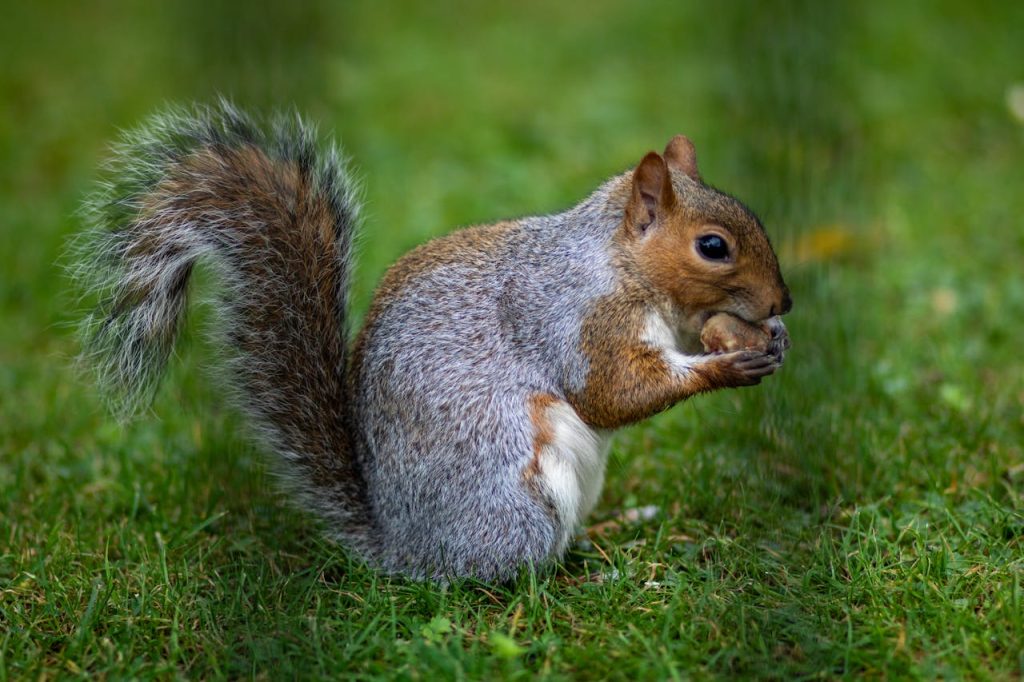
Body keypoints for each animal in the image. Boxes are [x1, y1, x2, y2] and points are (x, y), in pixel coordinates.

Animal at [76, 102, 792, 581]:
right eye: (712, 247)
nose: (783, 302)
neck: (617, 264)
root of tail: (405, 550)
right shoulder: (578, 321)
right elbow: (613, 393)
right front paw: (725, 363)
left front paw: (772, 338)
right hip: (517, 495)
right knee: (508, 574)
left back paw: (609, 531)